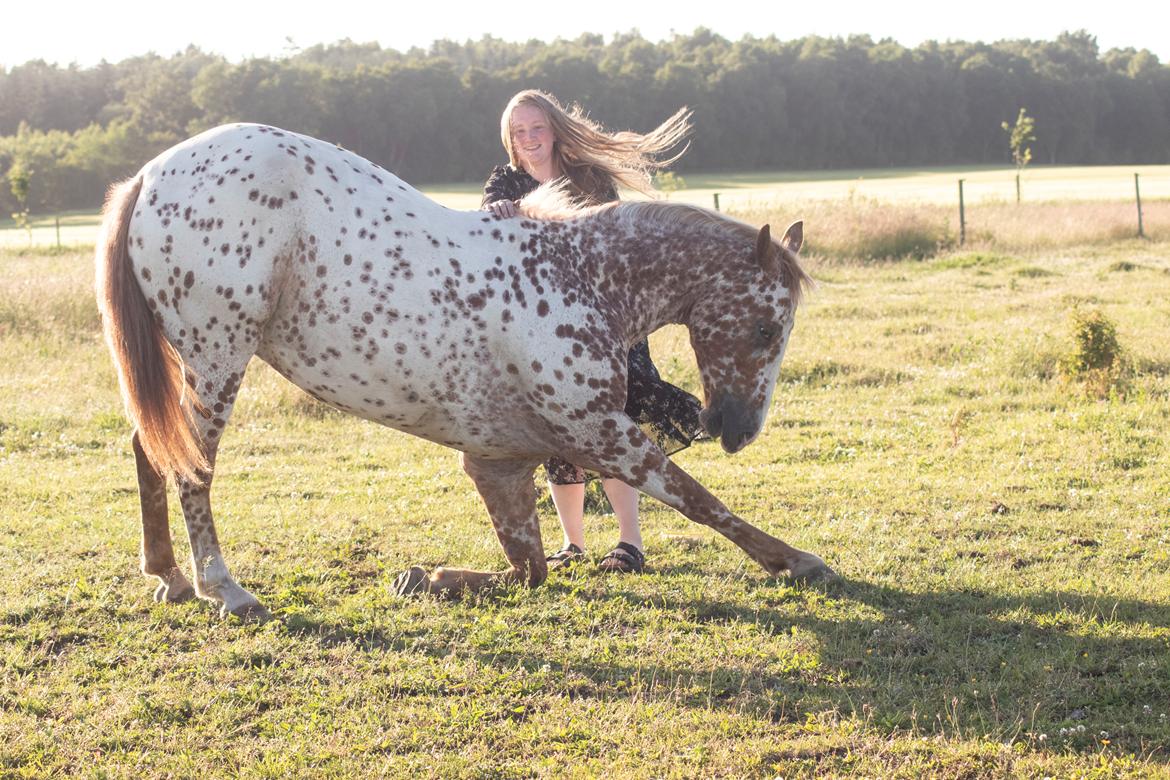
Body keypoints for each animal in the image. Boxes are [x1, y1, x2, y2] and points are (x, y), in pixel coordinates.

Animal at [95, 123, 837, 622]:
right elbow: (697, 497)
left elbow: (528, 570)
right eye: (767, 328)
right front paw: (798, 561)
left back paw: (169, 577)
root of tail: (149, 176)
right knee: (192, 466)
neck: (583, 276)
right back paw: (224, 588)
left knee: (151, 448)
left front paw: (424, 578)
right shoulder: (601, 433)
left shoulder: (499, 463)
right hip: (217, 355)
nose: (737, 428)